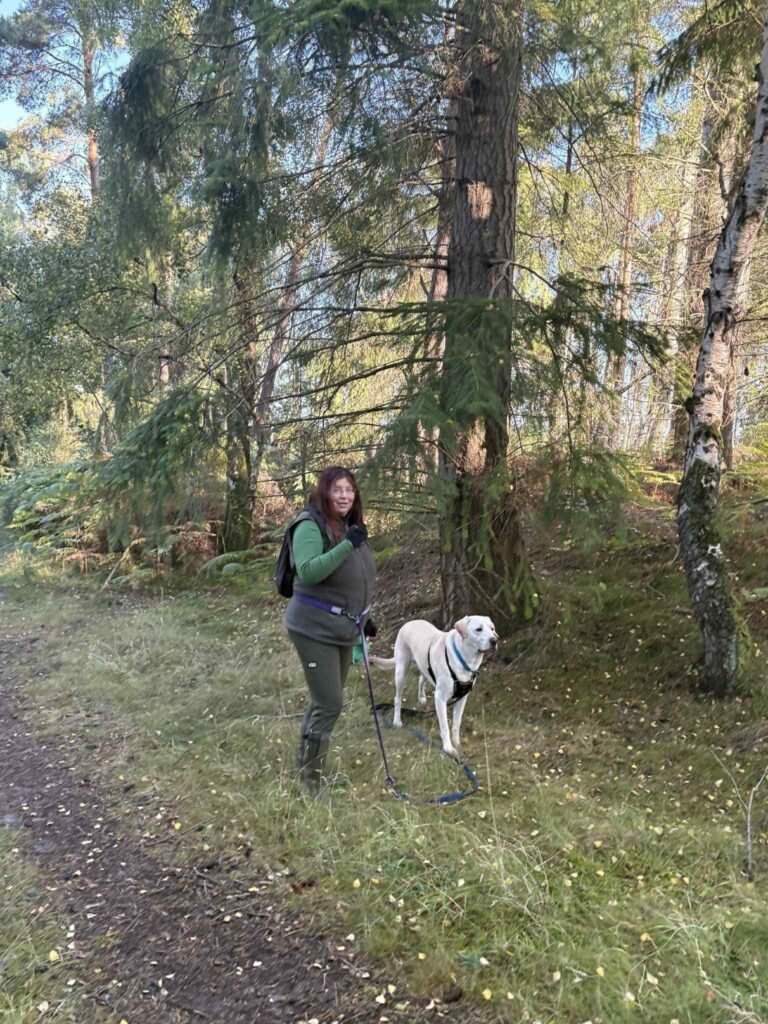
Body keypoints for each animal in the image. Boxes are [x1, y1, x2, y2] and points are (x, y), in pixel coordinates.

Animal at [369, 615, 498, 759]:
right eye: (478, 629)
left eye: (492, 629)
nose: (494, 640)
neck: (465, 659)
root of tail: (409, 622)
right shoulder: (440, 698)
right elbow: (445, 726)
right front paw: (448, 748)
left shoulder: (462, 698)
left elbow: (456, 724)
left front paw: (457, 744)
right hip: (401, 671)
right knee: (397, 698)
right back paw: (397, 721)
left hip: (424, 666)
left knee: (421, 679)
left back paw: (422, 698)